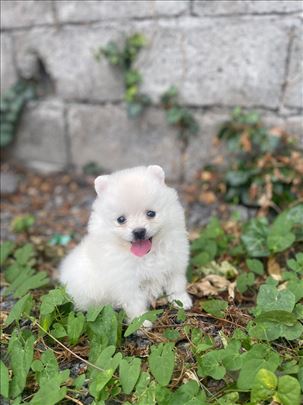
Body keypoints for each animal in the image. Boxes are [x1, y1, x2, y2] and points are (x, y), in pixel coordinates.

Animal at [60, 165, 192, 326]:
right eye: (121, 219)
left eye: (151, 213)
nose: (139, 231)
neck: (148, 255)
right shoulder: (127, 284)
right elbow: (136, 304)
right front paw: (141, 322)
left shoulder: (175, 265)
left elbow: (177, 284)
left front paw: (182, 300)